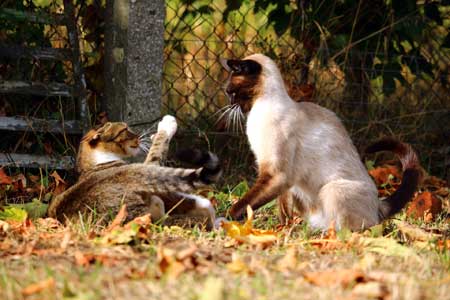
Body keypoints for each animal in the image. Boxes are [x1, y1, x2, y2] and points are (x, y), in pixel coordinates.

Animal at [220, 53, 420, 230]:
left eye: (231, 92)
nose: (229, 104)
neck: (260, 108)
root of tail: (379, 205)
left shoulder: (276, 174)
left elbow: (245, 204)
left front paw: (228, 219)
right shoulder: (281, 180)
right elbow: (283, 211)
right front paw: (281, 230)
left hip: (332, 189)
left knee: (356, 229)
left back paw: (323, 234)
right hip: (299, 190)